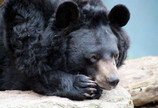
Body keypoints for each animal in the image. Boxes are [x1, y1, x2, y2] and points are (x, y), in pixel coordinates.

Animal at [0, 0, 130, 100]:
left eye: (116, 55)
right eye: (93, 57)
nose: (113, 80)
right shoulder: (23, 42)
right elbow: (33, 73)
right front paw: (84, 86)